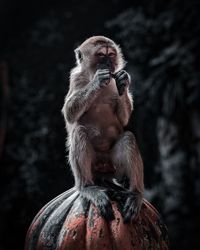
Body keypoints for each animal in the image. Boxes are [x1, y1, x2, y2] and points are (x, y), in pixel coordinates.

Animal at [61, 35, 144, 223]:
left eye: (111, 54)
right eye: (101, 55)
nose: (108, 63)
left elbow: (124, 119)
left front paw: (123, 81)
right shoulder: (75, 78)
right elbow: (69, 113)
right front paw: (96, 83)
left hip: (114, 168)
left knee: (127, 138)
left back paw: (135, 193)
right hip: (94, 168)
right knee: (79, 133)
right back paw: (87, 187)